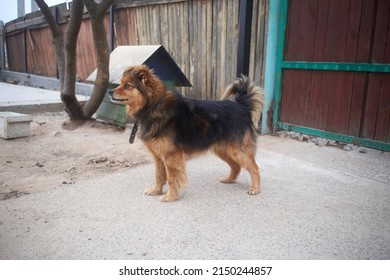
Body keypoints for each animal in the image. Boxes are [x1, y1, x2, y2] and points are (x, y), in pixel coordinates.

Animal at [108, 65, 264, 201]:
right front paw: (155, 190)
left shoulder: (171, 156)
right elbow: (159, 176)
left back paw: (255, 188)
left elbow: (172, 178)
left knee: (254, 168)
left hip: (237, 150)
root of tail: (241, 106)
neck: (153, 106)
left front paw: (170, 197)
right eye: (121, 83)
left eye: (127, 85)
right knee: (236, 166)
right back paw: (229, 179)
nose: (109, 91)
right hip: (224, 150)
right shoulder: (159, 157)